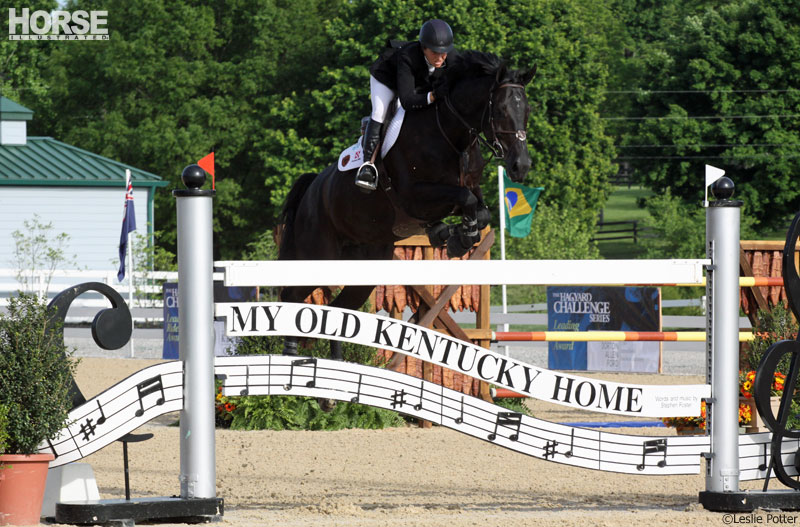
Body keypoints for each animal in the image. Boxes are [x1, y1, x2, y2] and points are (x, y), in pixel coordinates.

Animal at [278, 51, 536, 358]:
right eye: (501, 110)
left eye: (526, 111)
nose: (521, 166)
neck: (450, 134)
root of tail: (312, 187)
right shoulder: (414, 195)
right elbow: (466, 199)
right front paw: (458, 238)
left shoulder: (464, 187)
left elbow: (479, 209)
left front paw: (456, 236)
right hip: (320, 256)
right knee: (291, 296)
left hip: (365, 267)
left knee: (340, 309)